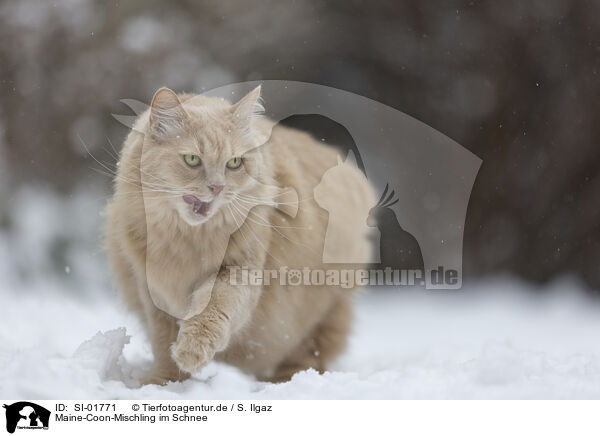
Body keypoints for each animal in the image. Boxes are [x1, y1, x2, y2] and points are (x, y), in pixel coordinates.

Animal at [103, 86, 376, 384]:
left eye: (234, 163)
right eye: (192, 160)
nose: (217, 187)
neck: (187, 241)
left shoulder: (240, 273)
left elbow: (211, 310)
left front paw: (192, 350)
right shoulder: (153, 289)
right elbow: (163, 341)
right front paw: (165, 381)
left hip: (316, 314)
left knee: (305, 355)